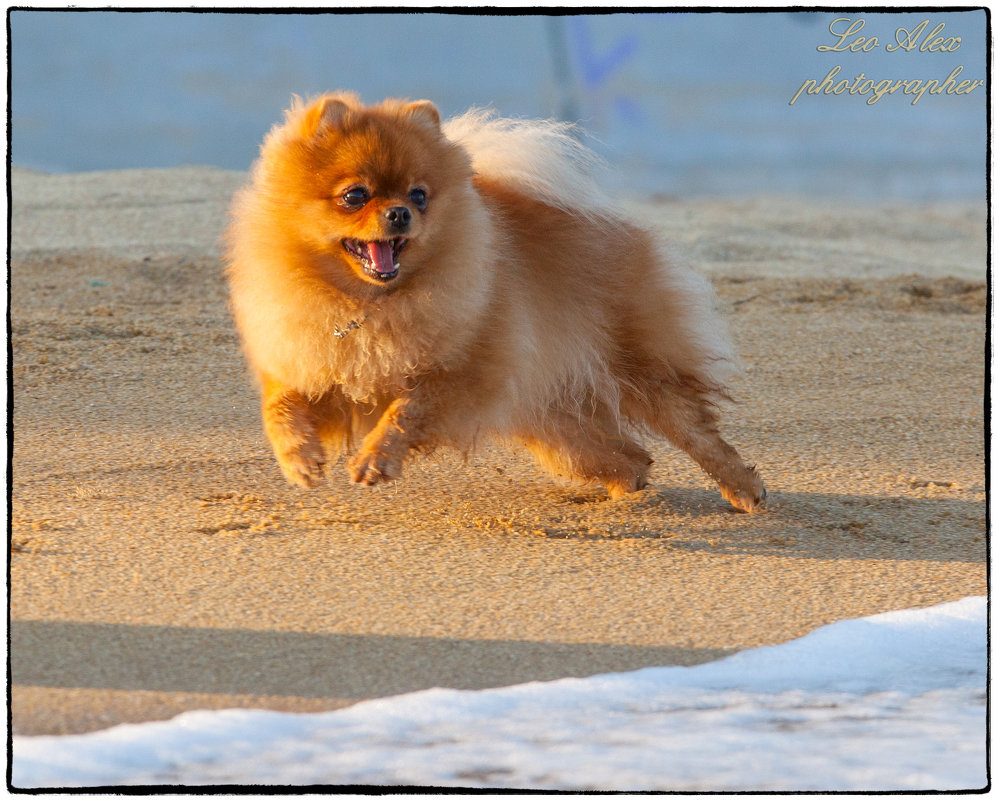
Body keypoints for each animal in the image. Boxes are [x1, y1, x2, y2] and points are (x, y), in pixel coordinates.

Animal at [225, 89, 764, 512]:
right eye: (355, 195)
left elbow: (405, 411)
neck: (368, 304)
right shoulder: (313, 366)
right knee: (626, 454)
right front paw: (298, 458)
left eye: (419, 195)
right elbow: (278, 408)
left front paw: (376, 459)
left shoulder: (460, 373)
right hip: (546, 411)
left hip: (635, 363)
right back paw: (622, 488)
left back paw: (744, 488)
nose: (399, 213)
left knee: (695, 429)